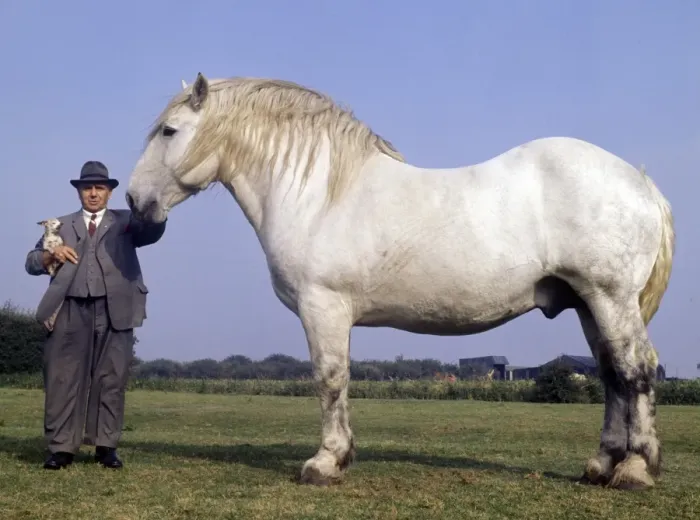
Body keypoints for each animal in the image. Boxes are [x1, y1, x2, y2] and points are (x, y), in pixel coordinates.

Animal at [126, 72, 675, 491]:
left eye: (169, 131)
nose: (134, 200)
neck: (319, 195)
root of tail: (640, 181)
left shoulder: (323, 308)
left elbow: (329, 379)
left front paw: (325, 462)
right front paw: (341, 456)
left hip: (610, 298)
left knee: (636, 371)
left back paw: (634, 470)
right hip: (587, 304)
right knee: (611, 375)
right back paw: (601, 465)